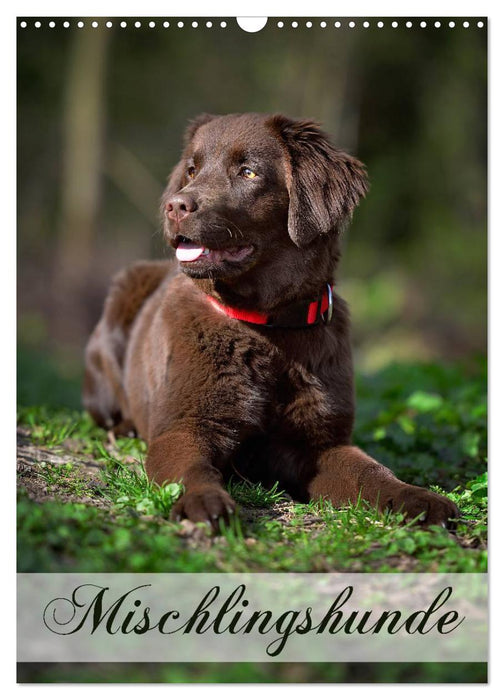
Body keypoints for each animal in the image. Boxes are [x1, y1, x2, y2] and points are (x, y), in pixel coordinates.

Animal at [83, 112, 460, 528]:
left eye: (248, 172)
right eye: (192, 170)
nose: (175, 206)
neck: (267, 327)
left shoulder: (319, 442)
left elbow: (372, 471)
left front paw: (418, 497)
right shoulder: (182, 426)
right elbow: (193, 469)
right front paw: (205, 501)